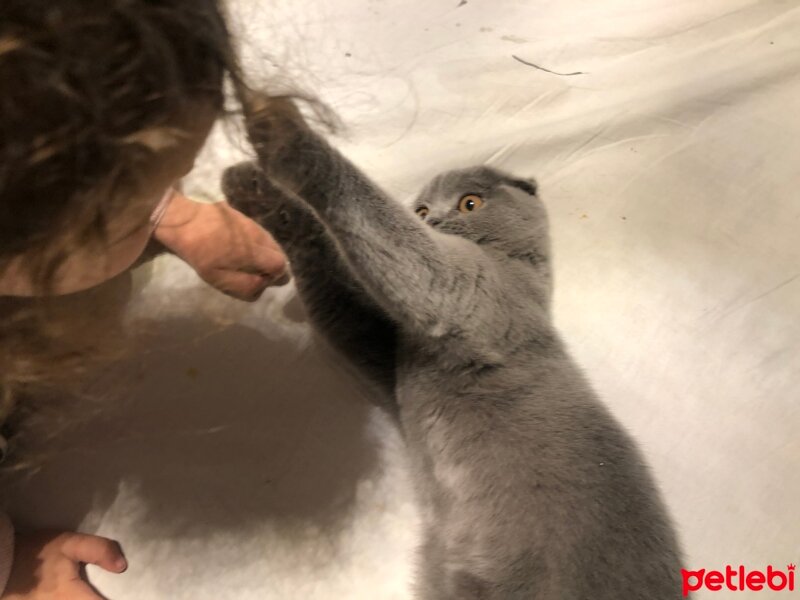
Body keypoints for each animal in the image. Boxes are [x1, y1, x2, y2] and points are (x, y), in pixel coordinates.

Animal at [222, 101, 684, 596]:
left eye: (470, 202)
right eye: (422, 208)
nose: (431, 219)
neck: (517, 269)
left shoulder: (470, 291)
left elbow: (403, 245)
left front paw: (285, 134)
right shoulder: (388, 353)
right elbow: (331, 277)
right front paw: (249, 187)